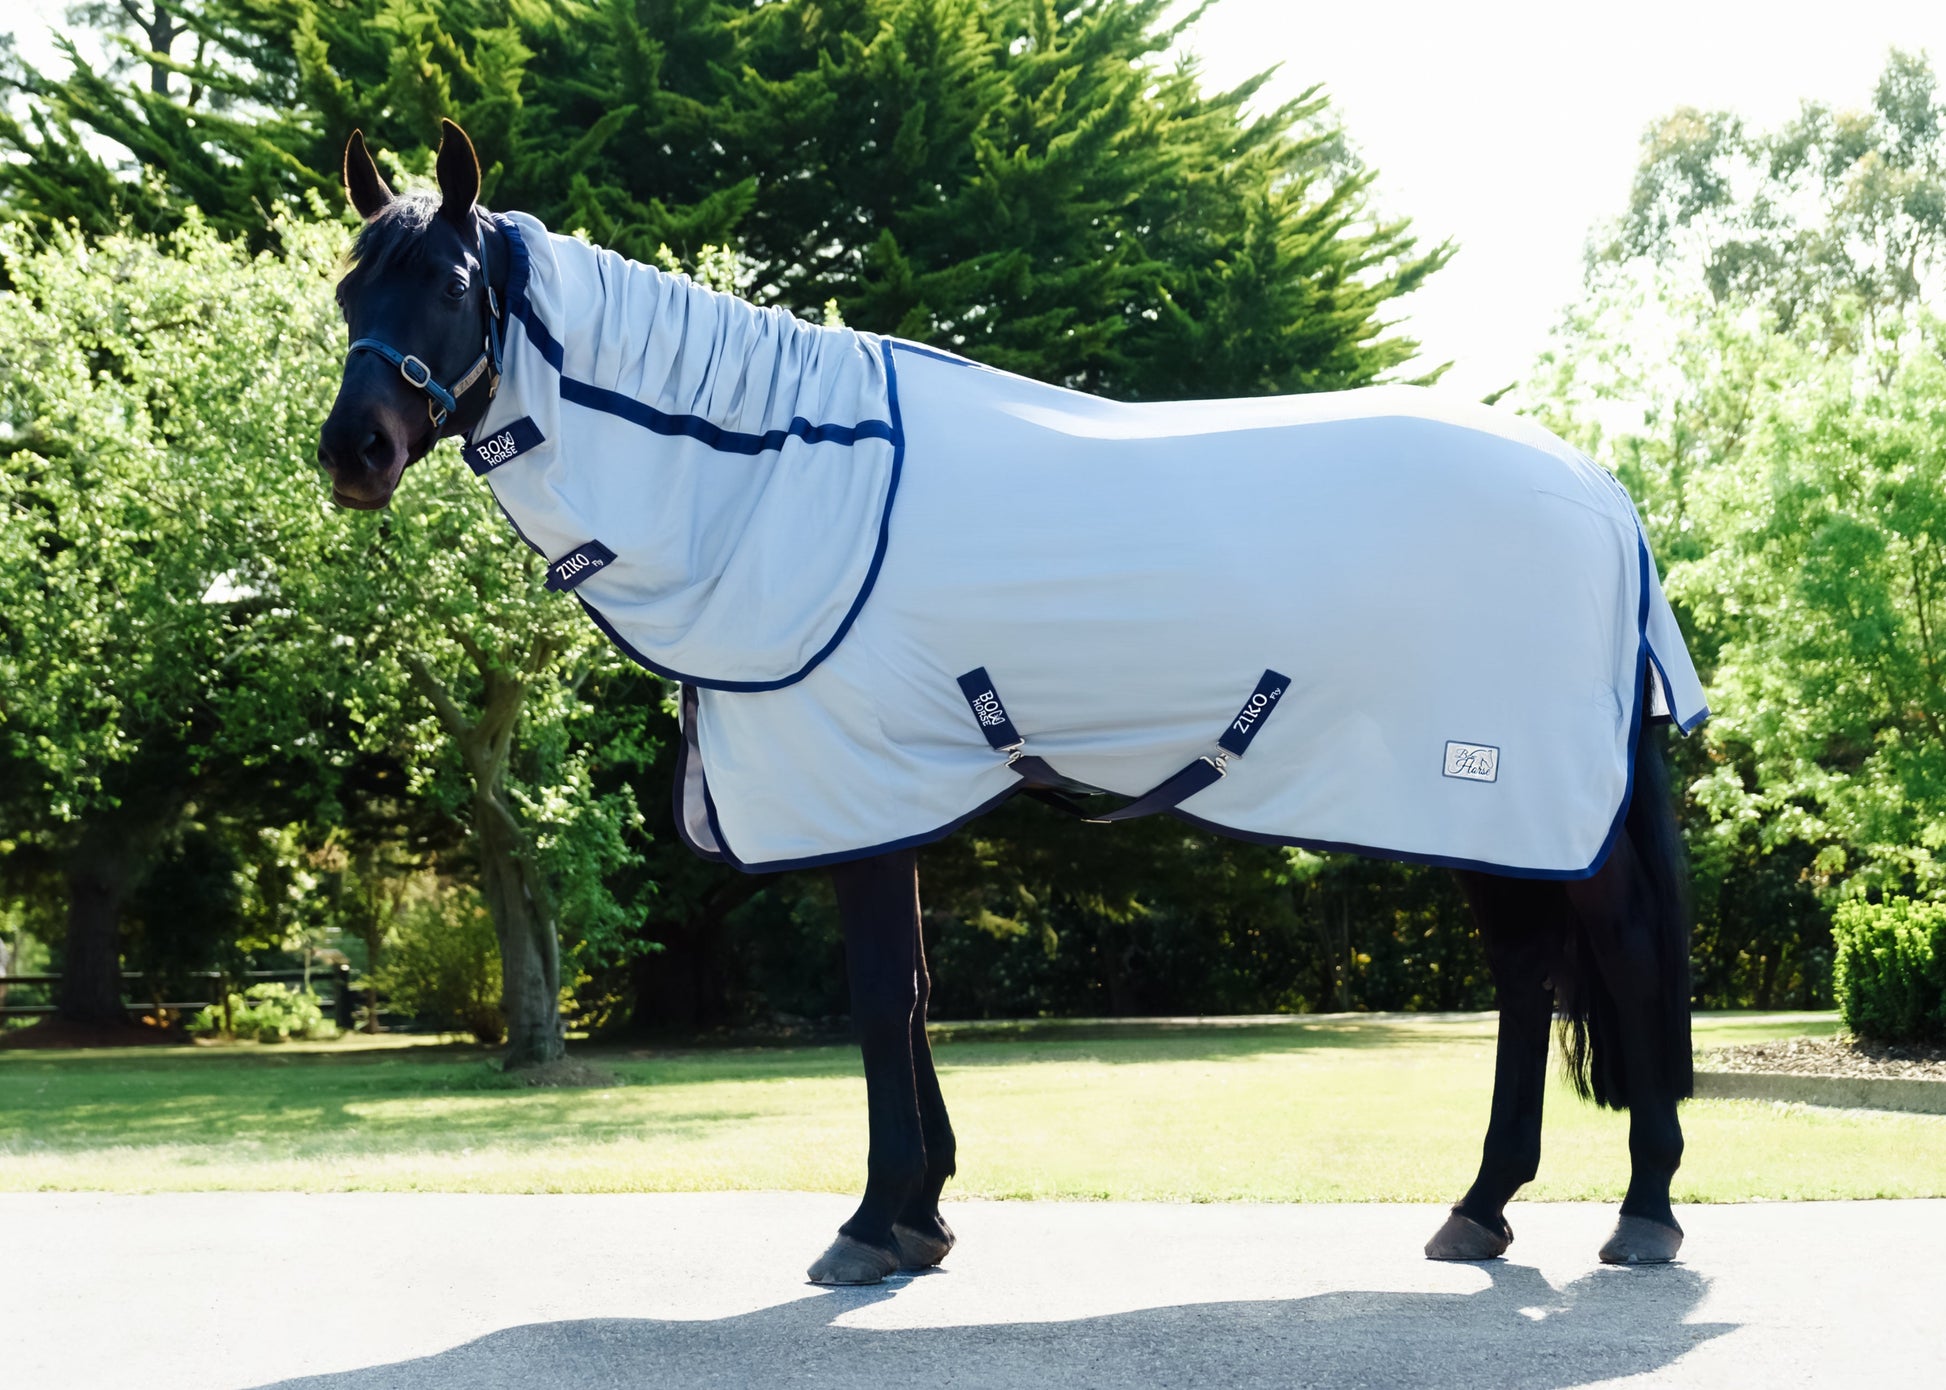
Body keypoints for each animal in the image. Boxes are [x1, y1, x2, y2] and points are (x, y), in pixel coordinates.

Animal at [318, 120, 1702, 1283]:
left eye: (450, 286)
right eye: (344, 290)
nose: (353, 453)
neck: (774, 481)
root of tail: (1605, 495)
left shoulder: (856, 792)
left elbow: (881, 997)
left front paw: (870, 1225)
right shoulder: (891, 794)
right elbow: (918, 994)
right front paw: (921, 1217)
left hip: (1530, 803)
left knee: (1626, 959)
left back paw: (1643, 1213)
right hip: (1485, 811)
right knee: (1524, 974)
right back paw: (1482, 1205)